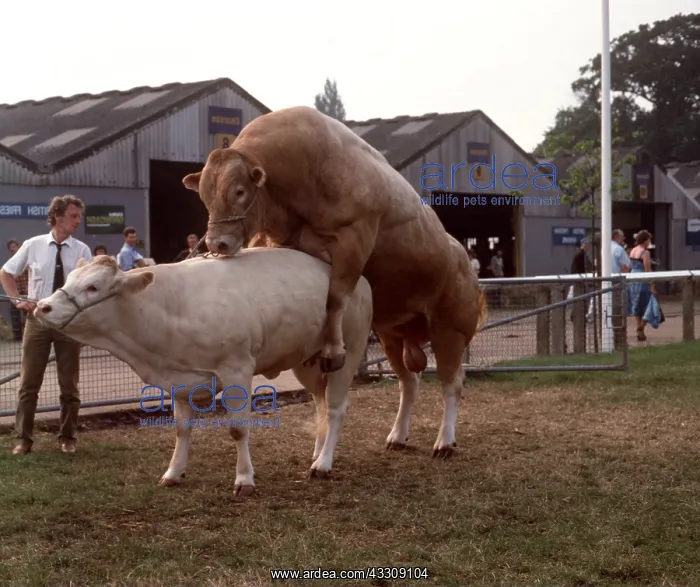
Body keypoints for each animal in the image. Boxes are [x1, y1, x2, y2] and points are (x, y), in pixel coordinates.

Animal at [33, 249, 373, 497]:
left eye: (93, 287)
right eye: (70, 278)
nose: (41, 307)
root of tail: (360, 281)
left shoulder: (237, 369)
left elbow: (238, 429)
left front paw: (244, 479)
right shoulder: (179, 380)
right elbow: (182, 429)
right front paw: (173, 472)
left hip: (348, 351)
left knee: (335, 408)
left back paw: (324, 464)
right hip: (307, 361)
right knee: (319, 402)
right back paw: (316, 454)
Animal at [182, 106, 486, 458]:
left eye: (239, 191)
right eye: (205, 197)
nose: (216, 243)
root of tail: (462, 258)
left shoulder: (354, 240)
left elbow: (337, 296)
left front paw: (332, 349)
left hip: (449, 330)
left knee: (452, 383)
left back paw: (445, 441)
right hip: (392, 335)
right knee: (410, 382)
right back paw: (398, 434)